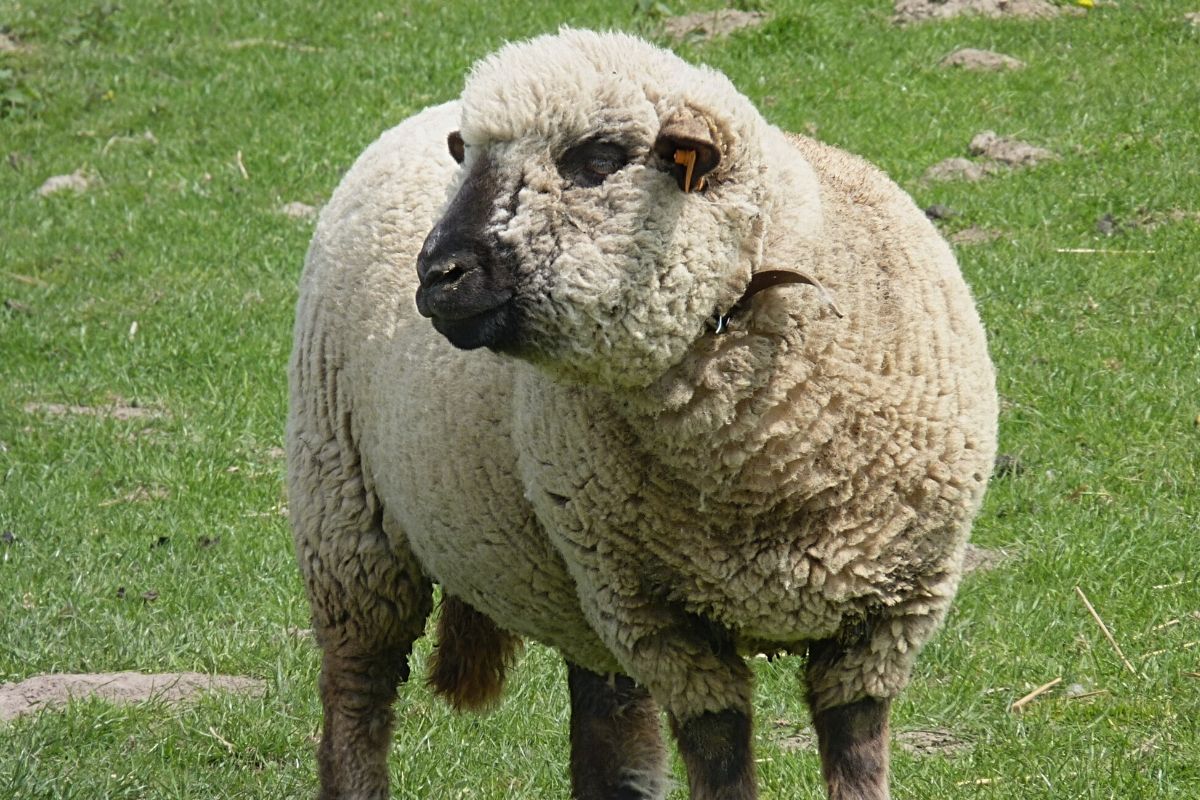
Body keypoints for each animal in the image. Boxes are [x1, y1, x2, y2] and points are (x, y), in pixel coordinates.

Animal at [287, 28, 998, 800]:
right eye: (466, 158)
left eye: (600, 157)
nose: (438, 274)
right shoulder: (662, 621)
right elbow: (721, 762)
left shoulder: (885, 621)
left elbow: (857, 760)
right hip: (347, 517)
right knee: (356, 695)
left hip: (580, 592)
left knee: (609, 726)